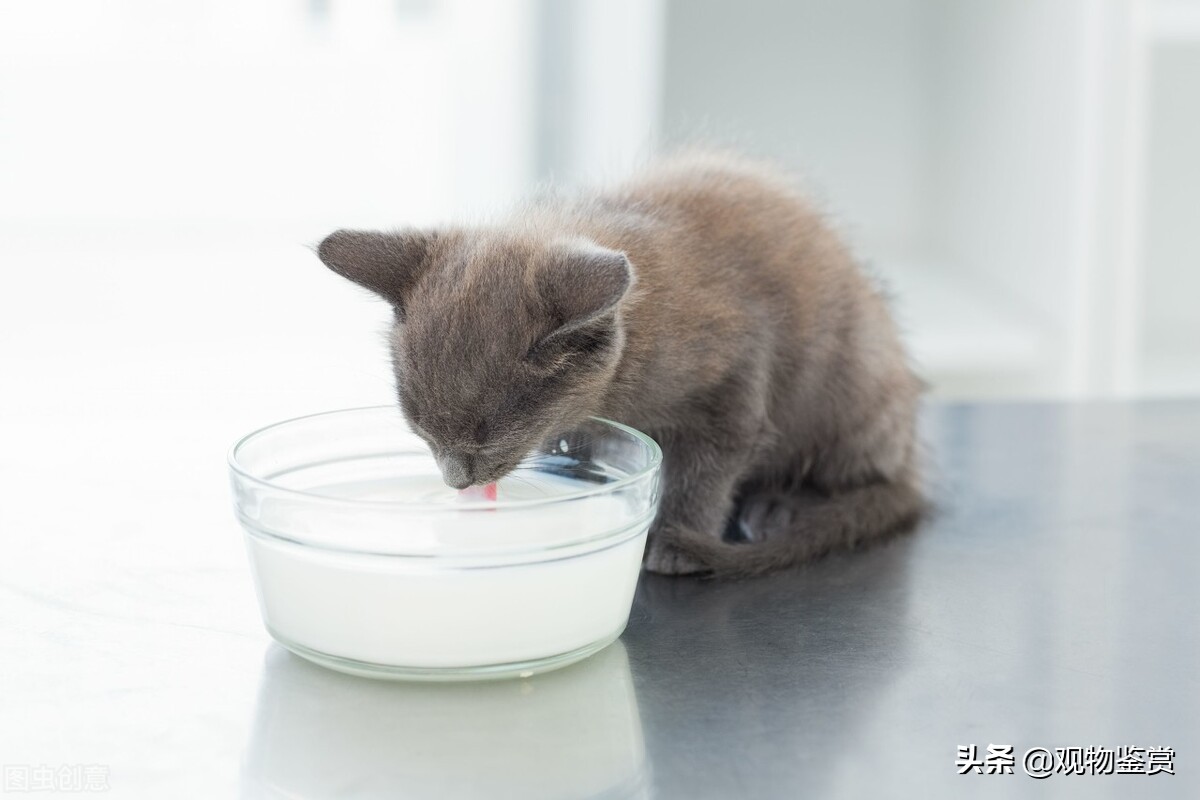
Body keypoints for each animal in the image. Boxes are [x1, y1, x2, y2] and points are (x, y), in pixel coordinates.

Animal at [314, 151, 921, 575]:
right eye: (420, 431)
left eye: (485, 439)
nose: (455, 480)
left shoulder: (733, 382)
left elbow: (705, 470)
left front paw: (675, 541)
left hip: (850, 381)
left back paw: (783, 506)